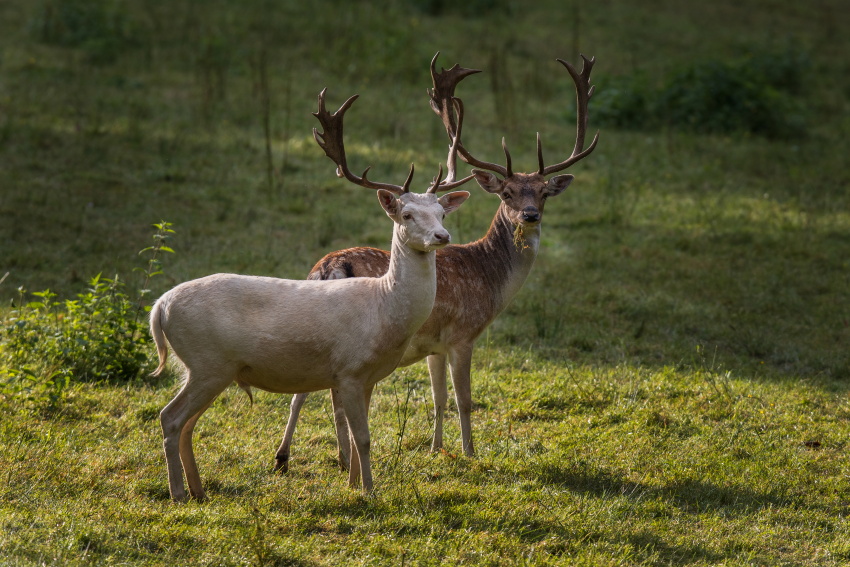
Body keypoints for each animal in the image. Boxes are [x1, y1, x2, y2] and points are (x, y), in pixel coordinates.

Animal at [151, 87, 470, 502]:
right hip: (207, 360)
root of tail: (159, 307)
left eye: (442, 214)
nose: (442, 236)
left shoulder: (366, 377)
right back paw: (177, 492)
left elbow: (356, 434)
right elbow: (363, 438)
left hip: (207, 368)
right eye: (407, 215)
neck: (383, 312)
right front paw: (369, 492)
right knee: (170, 418)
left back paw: (198, 490)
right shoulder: (349, 369)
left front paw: (353, 485)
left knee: (187, 423)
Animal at [272, 53, 596, 472]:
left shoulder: (434, 345)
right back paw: (340, 459)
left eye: (543, 192)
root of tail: (328, 268)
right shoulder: (463, 334)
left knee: (304, 392)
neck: (489, 280)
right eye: (507, 192)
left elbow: (438, 397)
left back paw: (288, 457)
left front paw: (436, 448)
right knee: (333, 397)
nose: (529, 215)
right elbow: (464, 399)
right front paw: (471, 452)